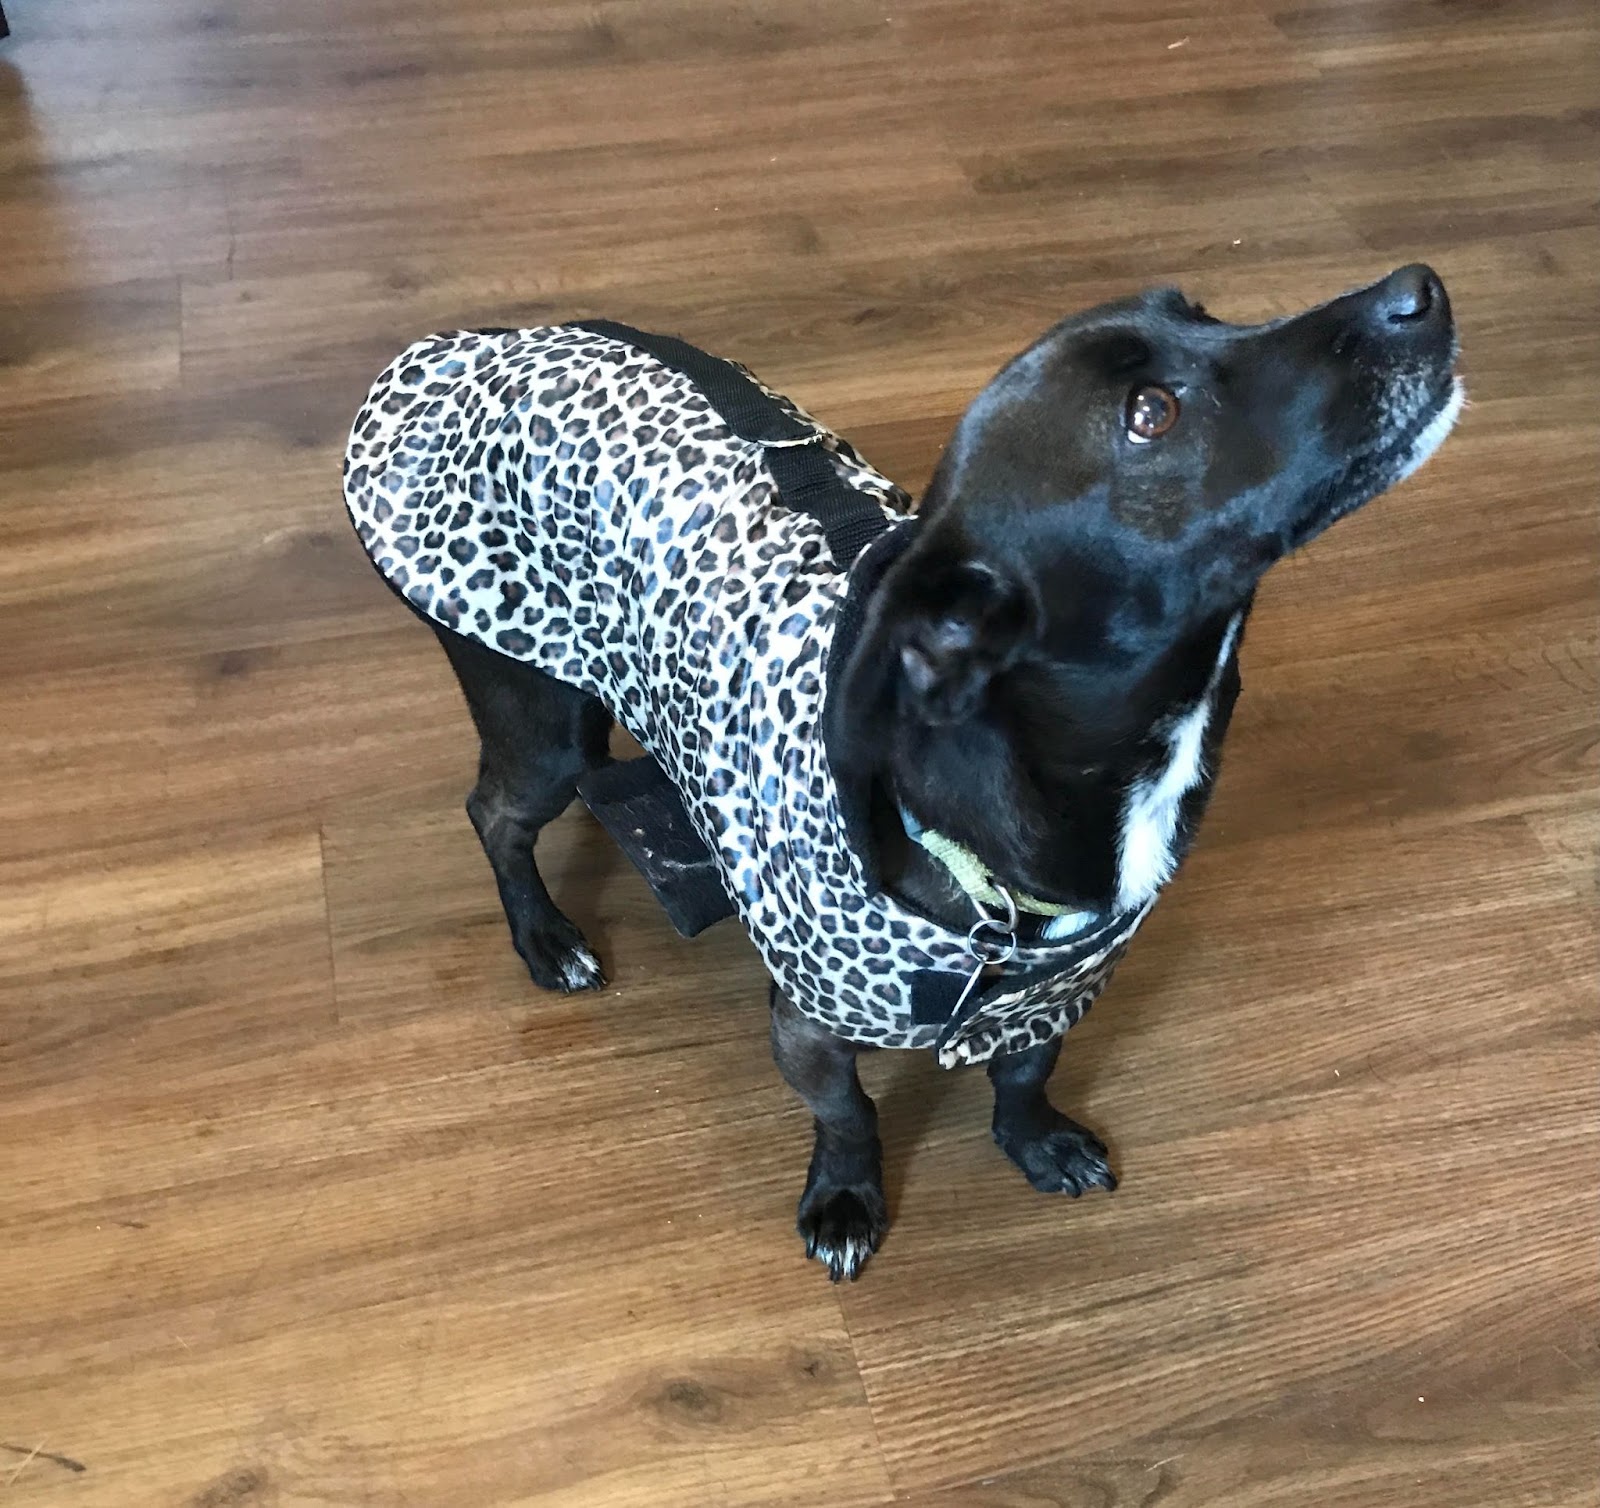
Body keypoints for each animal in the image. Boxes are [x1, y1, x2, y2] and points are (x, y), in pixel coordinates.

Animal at [344, 265, 1461, 1280]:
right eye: (1151, 416)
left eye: (1207, 313)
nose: (1419, 289)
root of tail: (468, 347)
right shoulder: (808, 1028)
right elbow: (849, 1114)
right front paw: (846, 1196)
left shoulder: (1054, 997)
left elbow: (1024, 1072)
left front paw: (1033, 1138)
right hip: (535, 720)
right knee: (494, 812)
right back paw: (544, 935)